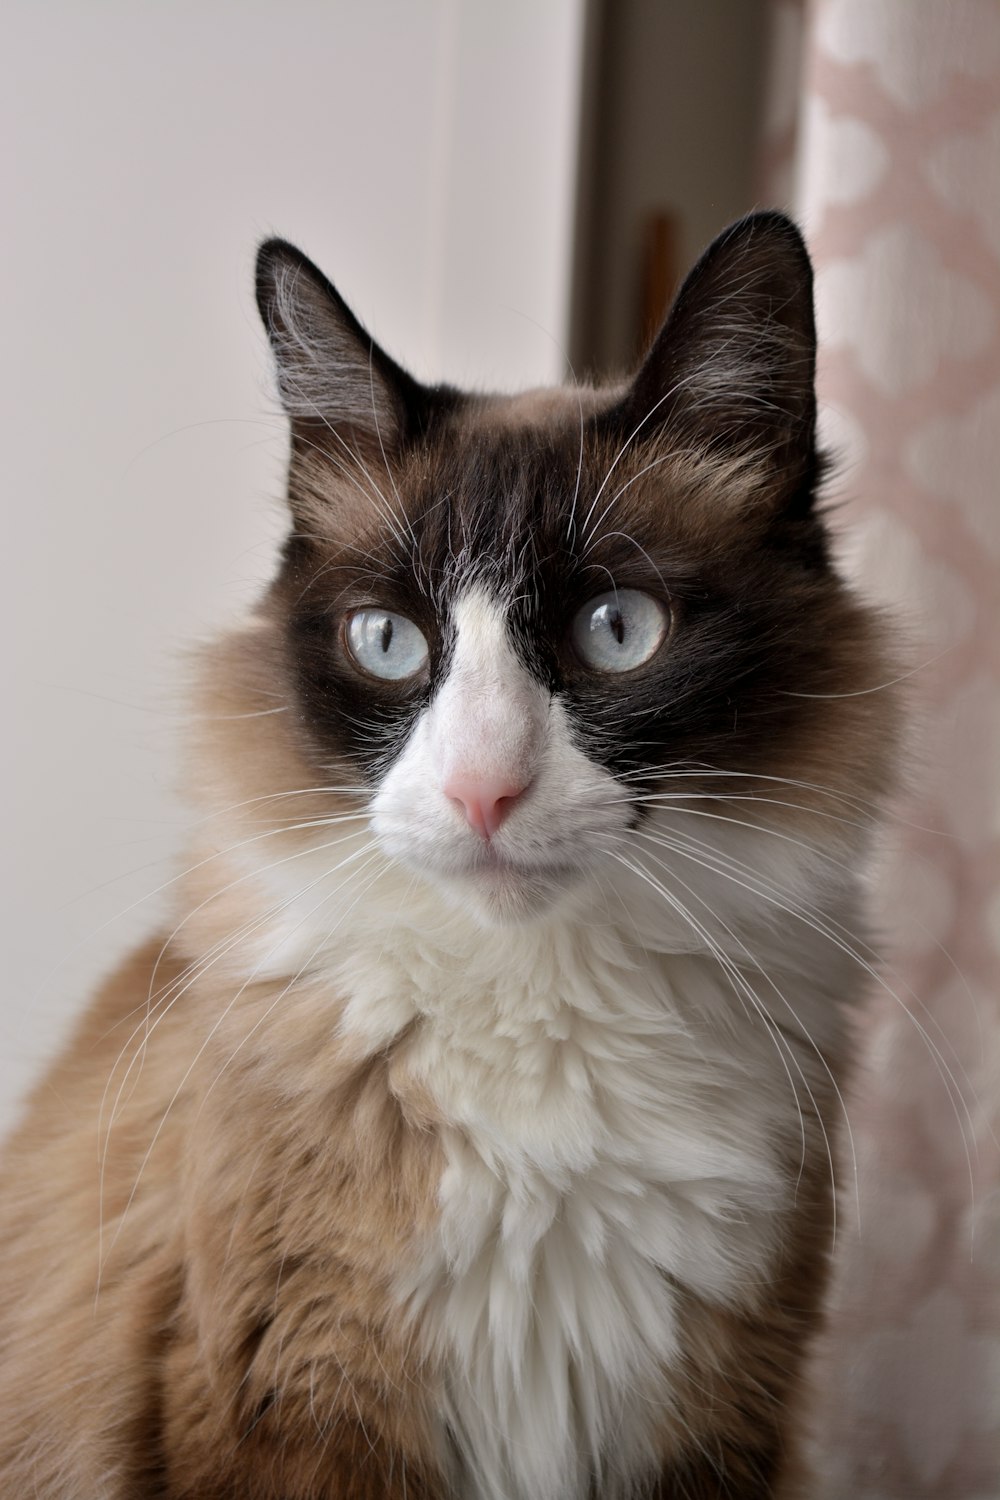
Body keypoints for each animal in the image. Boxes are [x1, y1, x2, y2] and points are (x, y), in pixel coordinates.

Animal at [0, 214, 893, 1500]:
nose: (483, 790)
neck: (545, 1026)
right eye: (389, 643)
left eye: (616, 632)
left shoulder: (715, 1423)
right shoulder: (296, 1410)